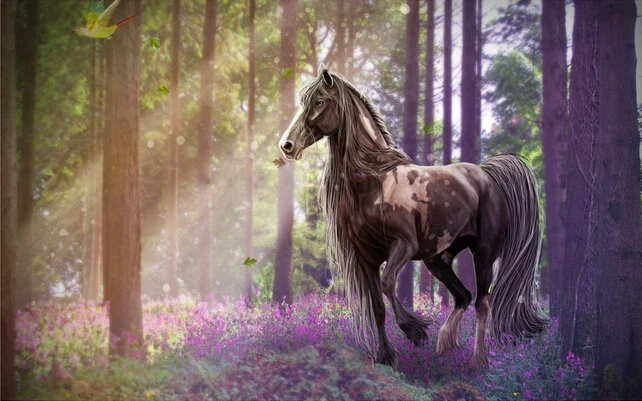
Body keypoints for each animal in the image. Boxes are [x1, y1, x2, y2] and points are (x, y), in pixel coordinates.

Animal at [278, 68, 546, 370]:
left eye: (321, 102)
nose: (286, 145)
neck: (375, 181)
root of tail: (486, 174)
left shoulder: (404, 246)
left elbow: (388, 283)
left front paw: (414, 329)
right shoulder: (365, 257)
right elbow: (377, 307)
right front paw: (385, 358)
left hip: (483, 253)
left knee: (482, 302)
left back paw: (477, 361)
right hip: (438, 258)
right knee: (462, 296)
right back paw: (445, 345)